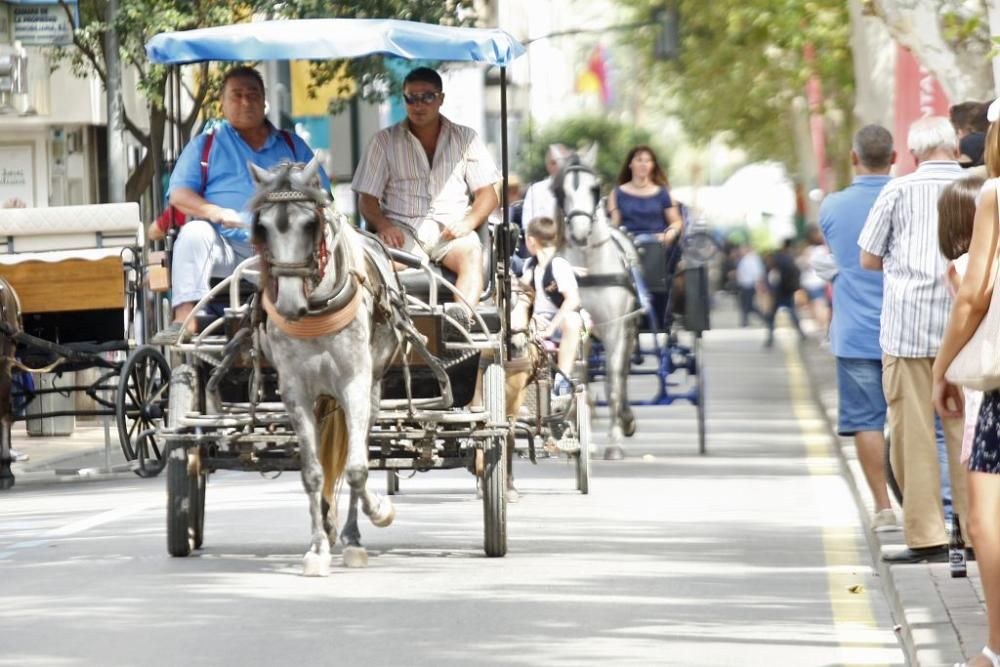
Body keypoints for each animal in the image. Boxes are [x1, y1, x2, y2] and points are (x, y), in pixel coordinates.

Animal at [250, 159, 398, 576]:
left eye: (309, 224)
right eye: (262, 226)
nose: (287, 304)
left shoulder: (355, 383)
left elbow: (357, 468)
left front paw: (379, 512)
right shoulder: (295, 391)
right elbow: (313, 473)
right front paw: (317, 548)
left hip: (371, 388)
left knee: (356, 451)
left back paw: (352, 535)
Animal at [552, 152, 636, 462]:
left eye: (595, 188)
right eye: (560, 191)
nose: (578, 233)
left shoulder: (614, 329)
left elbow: (612, 384)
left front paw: (614, 444)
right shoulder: (578, 328)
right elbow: (581, 381)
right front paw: (584, 439)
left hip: (628, 329)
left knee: (621, 375)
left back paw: (626, 418)